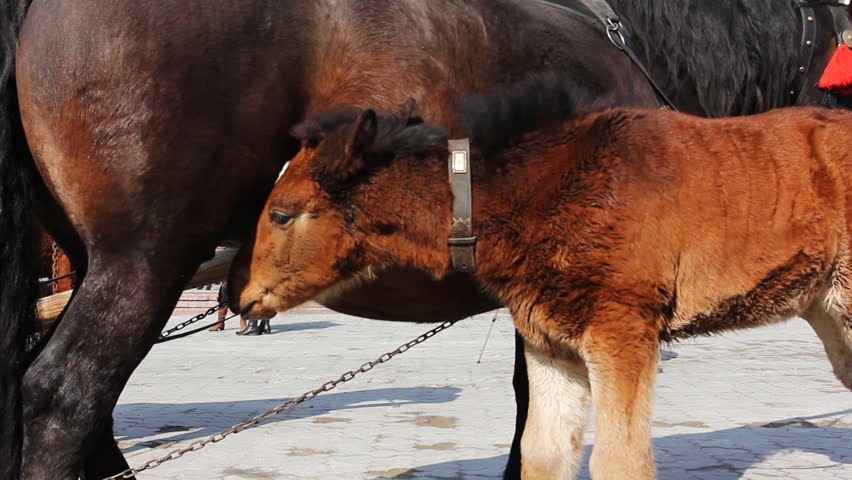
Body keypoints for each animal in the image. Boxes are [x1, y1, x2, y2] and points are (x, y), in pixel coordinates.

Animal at [230, 82, 852, 479]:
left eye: (281, 214)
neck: (542, 189)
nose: (242, 297)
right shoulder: (550, 343)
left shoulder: (623, 333)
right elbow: (544, 453)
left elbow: (620, 461)